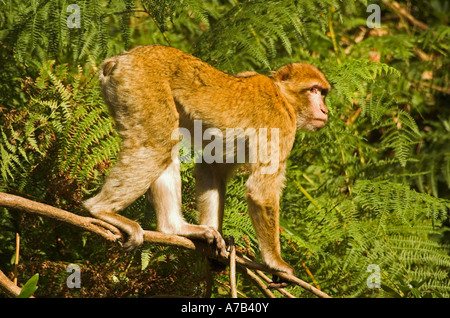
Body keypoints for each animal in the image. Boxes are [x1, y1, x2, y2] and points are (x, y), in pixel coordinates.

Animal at [84, 44, 330, 276]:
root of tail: (120, 59)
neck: (282, 96)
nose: (325, 109)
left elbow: (212, 168)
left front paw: (217, 251)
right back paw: (101, 210)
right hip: (141, 85)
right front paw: (276, 264)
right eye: (314, 90)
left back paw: (175, 228)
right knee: (159, 144)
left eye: (322, 93)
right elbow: (261, 191)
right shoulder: (280, 122)